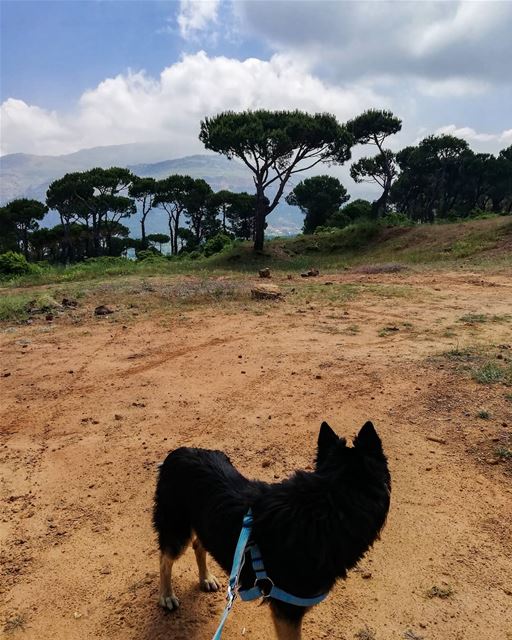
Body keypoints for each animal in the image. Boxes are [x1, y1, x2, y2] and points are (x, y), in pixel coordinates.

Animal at [154, 420, 390, 640]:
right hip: (176, 530)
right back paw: (166, 595)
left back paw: (205, 578)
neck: (330, 504)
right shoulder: (287, 611)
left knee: (198, 545)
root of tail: (180, 451)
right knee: (165, 560)